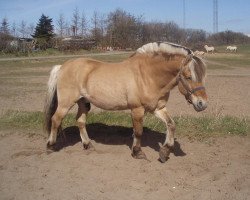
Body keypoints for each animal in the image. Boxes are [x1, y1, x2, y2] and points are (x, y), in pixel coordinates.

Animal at [44, 41, 207, 162]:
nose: (202, 104)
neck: (147, 75)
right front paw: (138, 152)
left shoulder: (157, 108)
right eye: (188, 76)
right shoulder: (137, 109)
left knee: (80, 121)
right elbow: (138, 131)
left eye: (203, 76)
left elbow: (171, 125)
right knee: (56, 119)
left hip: (83, 102)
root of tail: (62, 66)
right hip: (66, 103)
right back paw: (51, 145)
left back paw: (87, 144)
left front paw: (164, 152)